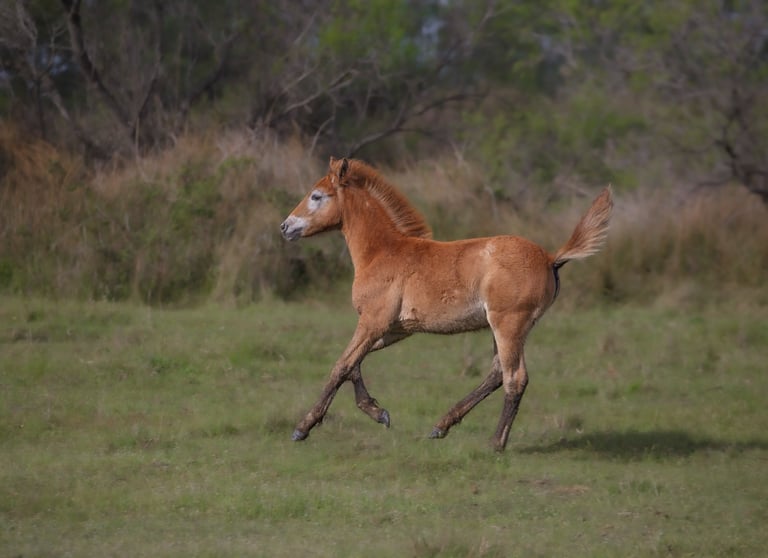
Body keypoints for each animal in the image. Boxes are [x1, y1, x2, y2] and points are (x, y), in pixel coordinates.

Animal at [280, 157, 613, 451]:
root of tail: (550, 258)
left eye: (317, 195)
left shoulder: (374, 322)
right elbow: (353, 364)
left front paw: (302, 428)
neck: (383, 251)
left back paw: (495, 444)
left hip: (508, 324)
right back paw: (442, 426)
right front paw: (378, 412)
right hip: (501, 328)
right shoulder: (394, 329)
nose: (285, 227)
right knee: (497, 374)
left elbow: (341, 365)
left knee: (515, 378)